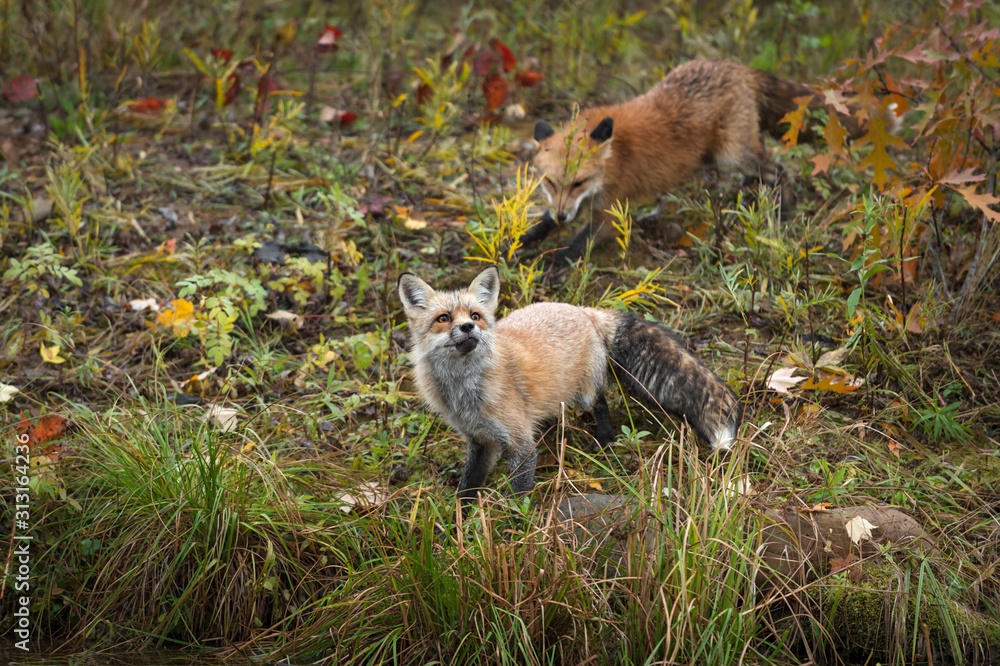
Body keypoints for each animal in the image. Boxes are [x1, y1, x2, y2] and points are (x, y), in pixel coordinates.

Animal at [397, 265, 741, 507]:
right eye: (443, 318)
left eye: (475, 315)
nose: (468, 327)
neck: (466, 392)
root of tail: (582, 308)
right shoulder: (480, 440)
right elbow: (468, 486)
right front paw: (457, 524)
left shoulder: (520, 444)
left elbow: (518, 497)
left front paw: (513, 531)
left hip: (586, 393)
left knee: (601, 402)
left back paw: (606, 439)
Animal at [527, 57, 883, 268]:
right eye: (550, 183)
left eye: (579, 182)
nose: (563, 217)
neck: (613, 159)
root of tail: (733, 64)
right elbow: (541, 224)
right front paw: (521, 244)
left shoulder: (612, 211)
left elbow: (576, 244)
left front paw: (546, 264)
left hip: (734, 153)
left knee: (779, 171)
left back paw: (778, 211)